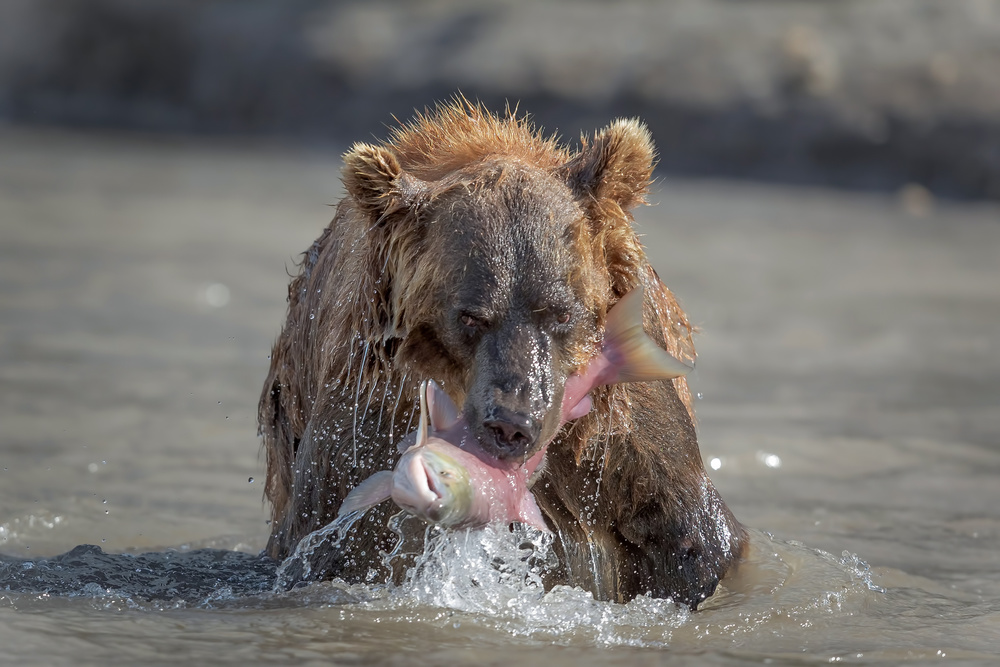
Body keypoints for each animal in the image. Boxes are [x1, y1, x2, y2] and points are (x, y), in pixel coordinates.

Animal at [262, 98, 748, 604]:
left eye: (560, 312)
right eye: (471, 317)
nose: (512, 424)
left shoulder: (620, 428)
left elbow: (693, 537)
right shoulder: (368, 408)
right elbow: (338, 539)